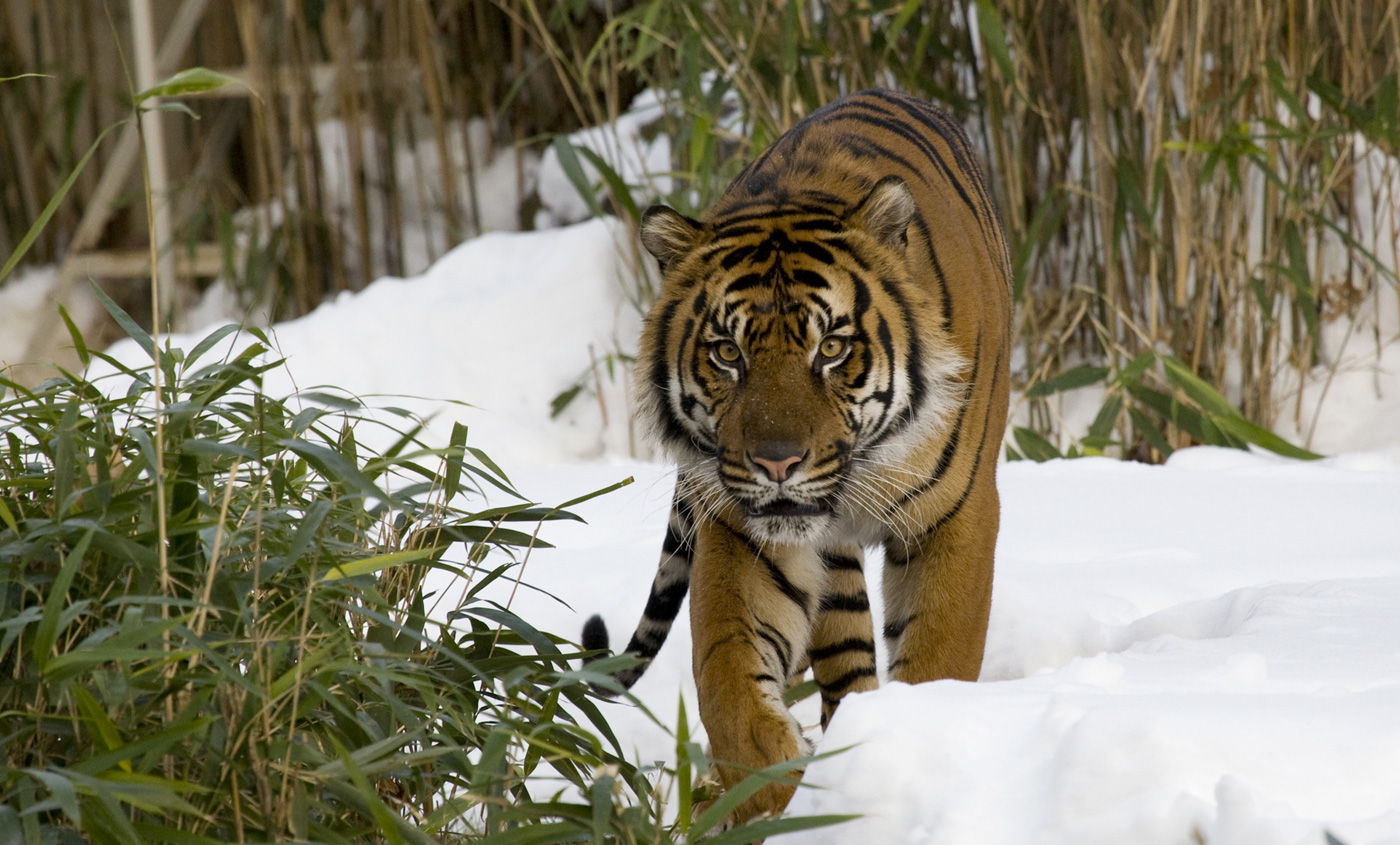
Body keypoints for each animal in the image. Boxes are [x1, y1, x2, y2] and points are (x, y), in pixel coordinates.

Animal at [579, 89, 1008, 822]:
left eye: (830, 348)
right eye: (728, 352)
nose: (777, 463)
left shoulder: (955, 518)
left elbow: (940, 655)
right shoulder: (742, 528)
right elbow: (725, 673)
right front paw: (772, 788)